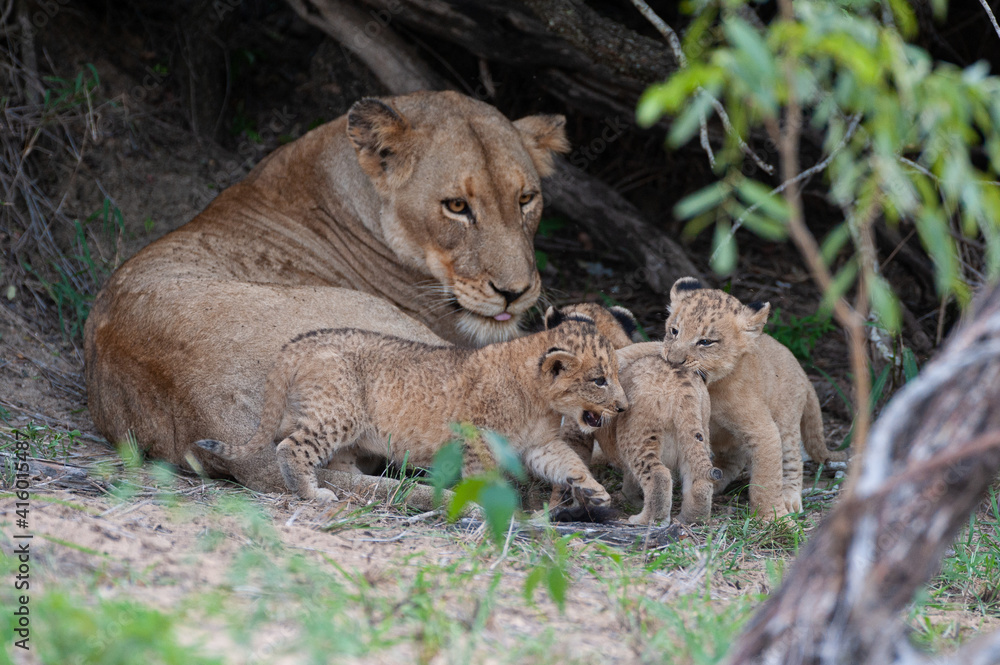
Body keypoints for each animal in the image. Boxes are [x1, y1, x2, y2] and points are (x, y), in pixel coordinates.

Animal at [195, 320, 627, 510]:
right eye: (600, 380)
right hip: (339, 413)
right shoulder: (478, 439)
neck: (539, 401)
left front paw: (594, 490)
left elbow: (568, 463)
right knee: (290, 446)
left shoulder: (539, 444)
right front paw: (484, 508)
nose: (624, 407)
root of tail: (303, 339)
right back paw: (312, 492)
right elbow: (483, 478)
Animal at [662, 277, 846, 520]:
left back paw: (790, 498)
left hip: (786, 421)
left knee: (792, 460)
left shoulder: (764, 431)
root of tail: (805, 374)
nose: (673, 361)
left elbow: (766, 479)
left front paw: (773, 518)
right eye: (674, 331)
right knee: (733, 460)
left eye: (706, 341)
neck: (712, 387)